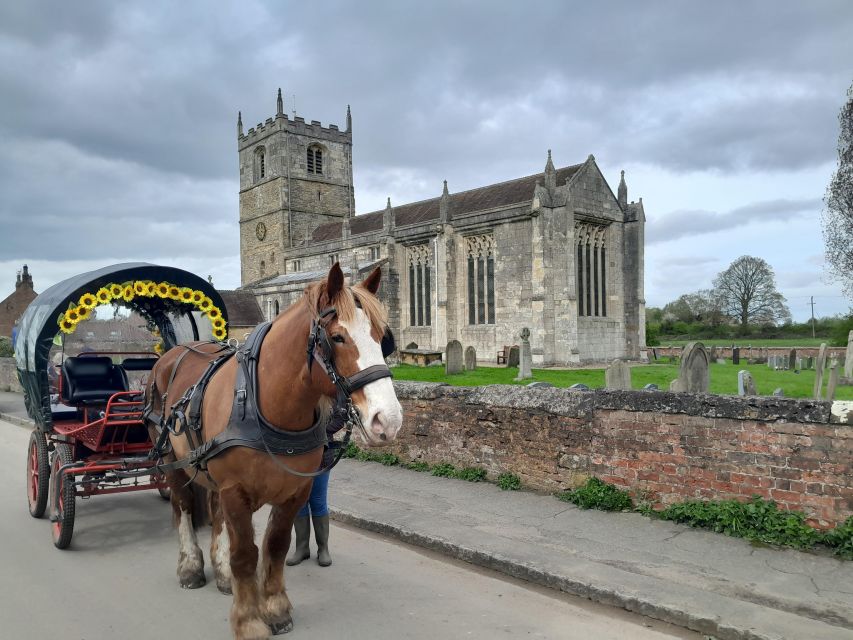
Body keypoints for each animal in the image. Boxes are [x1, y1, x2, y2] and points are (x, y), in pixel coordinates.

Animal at [144, 262, 402, 636]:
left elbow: (276, 546)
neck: (264, 399)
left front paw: (275, 608)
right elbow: (245, 554)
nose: (389, 420)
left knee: (214, 510)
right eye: (337, 337)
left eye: (383, 337)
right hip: (171, 459)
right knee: (183, 507)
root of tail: (172, 354)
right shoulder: (235, 490)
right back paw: (190, 566)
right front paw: (249, 620)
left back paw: (222, 573)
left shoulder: (294, 491)